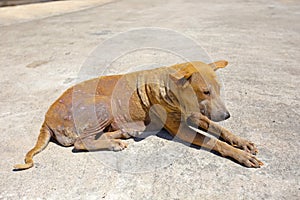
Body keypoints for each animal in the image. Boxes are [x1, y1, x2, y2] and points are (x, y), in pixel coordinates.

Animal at [14, 60, 262, 170]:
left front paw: (241, 142)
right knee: (81, 143)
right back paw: (114, 143)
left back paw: (121, 135)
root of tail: (46, 119)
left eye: (219, 89)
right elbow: (213, 141)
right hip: (103, 104)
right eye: (206, 91)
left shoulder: (192, 115)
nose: (227, 114)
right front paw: (240, 155)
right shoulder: (179, 127)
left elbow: (220, 129)